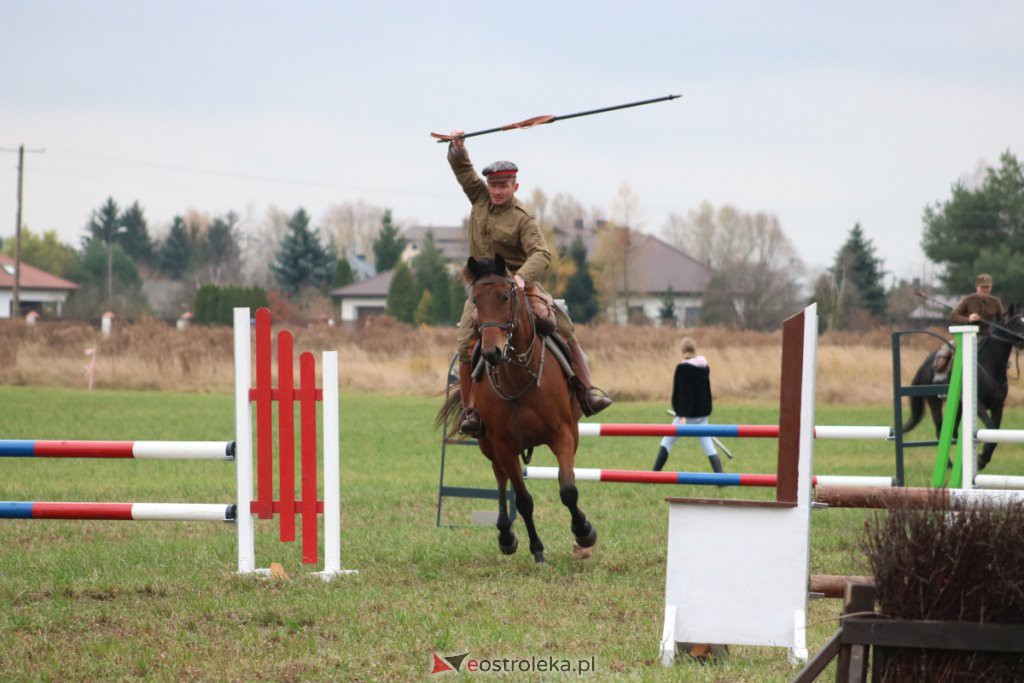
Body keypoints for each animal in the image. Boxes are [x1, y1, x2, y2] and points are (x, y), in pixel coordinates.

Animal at [436, 253, 598, 565]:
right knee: (500, 480)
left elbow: (568, 489)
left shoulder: (564, 434)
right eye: (475, 300)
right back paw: (505, 535)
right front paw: (536, 548)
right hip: (488, 446)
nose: (491, 353)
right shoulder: (504, 446)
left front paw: (584, 531)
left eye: (504, 296)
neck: (519, 376)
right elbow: (522, 500)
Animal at [905, 305, 1024, 471]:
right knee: (940, 431)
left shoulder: (998, 406)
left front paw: (983, 460)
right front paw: (980, 460)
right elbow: (990, 427)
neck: (988, 369)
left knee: (952, 432)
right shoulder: (979, 405)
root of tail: (926, 363)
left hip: (958, 407)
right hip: (934, 403)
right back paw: (948, 465)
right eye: (1016, 324)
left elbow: (995, 432)